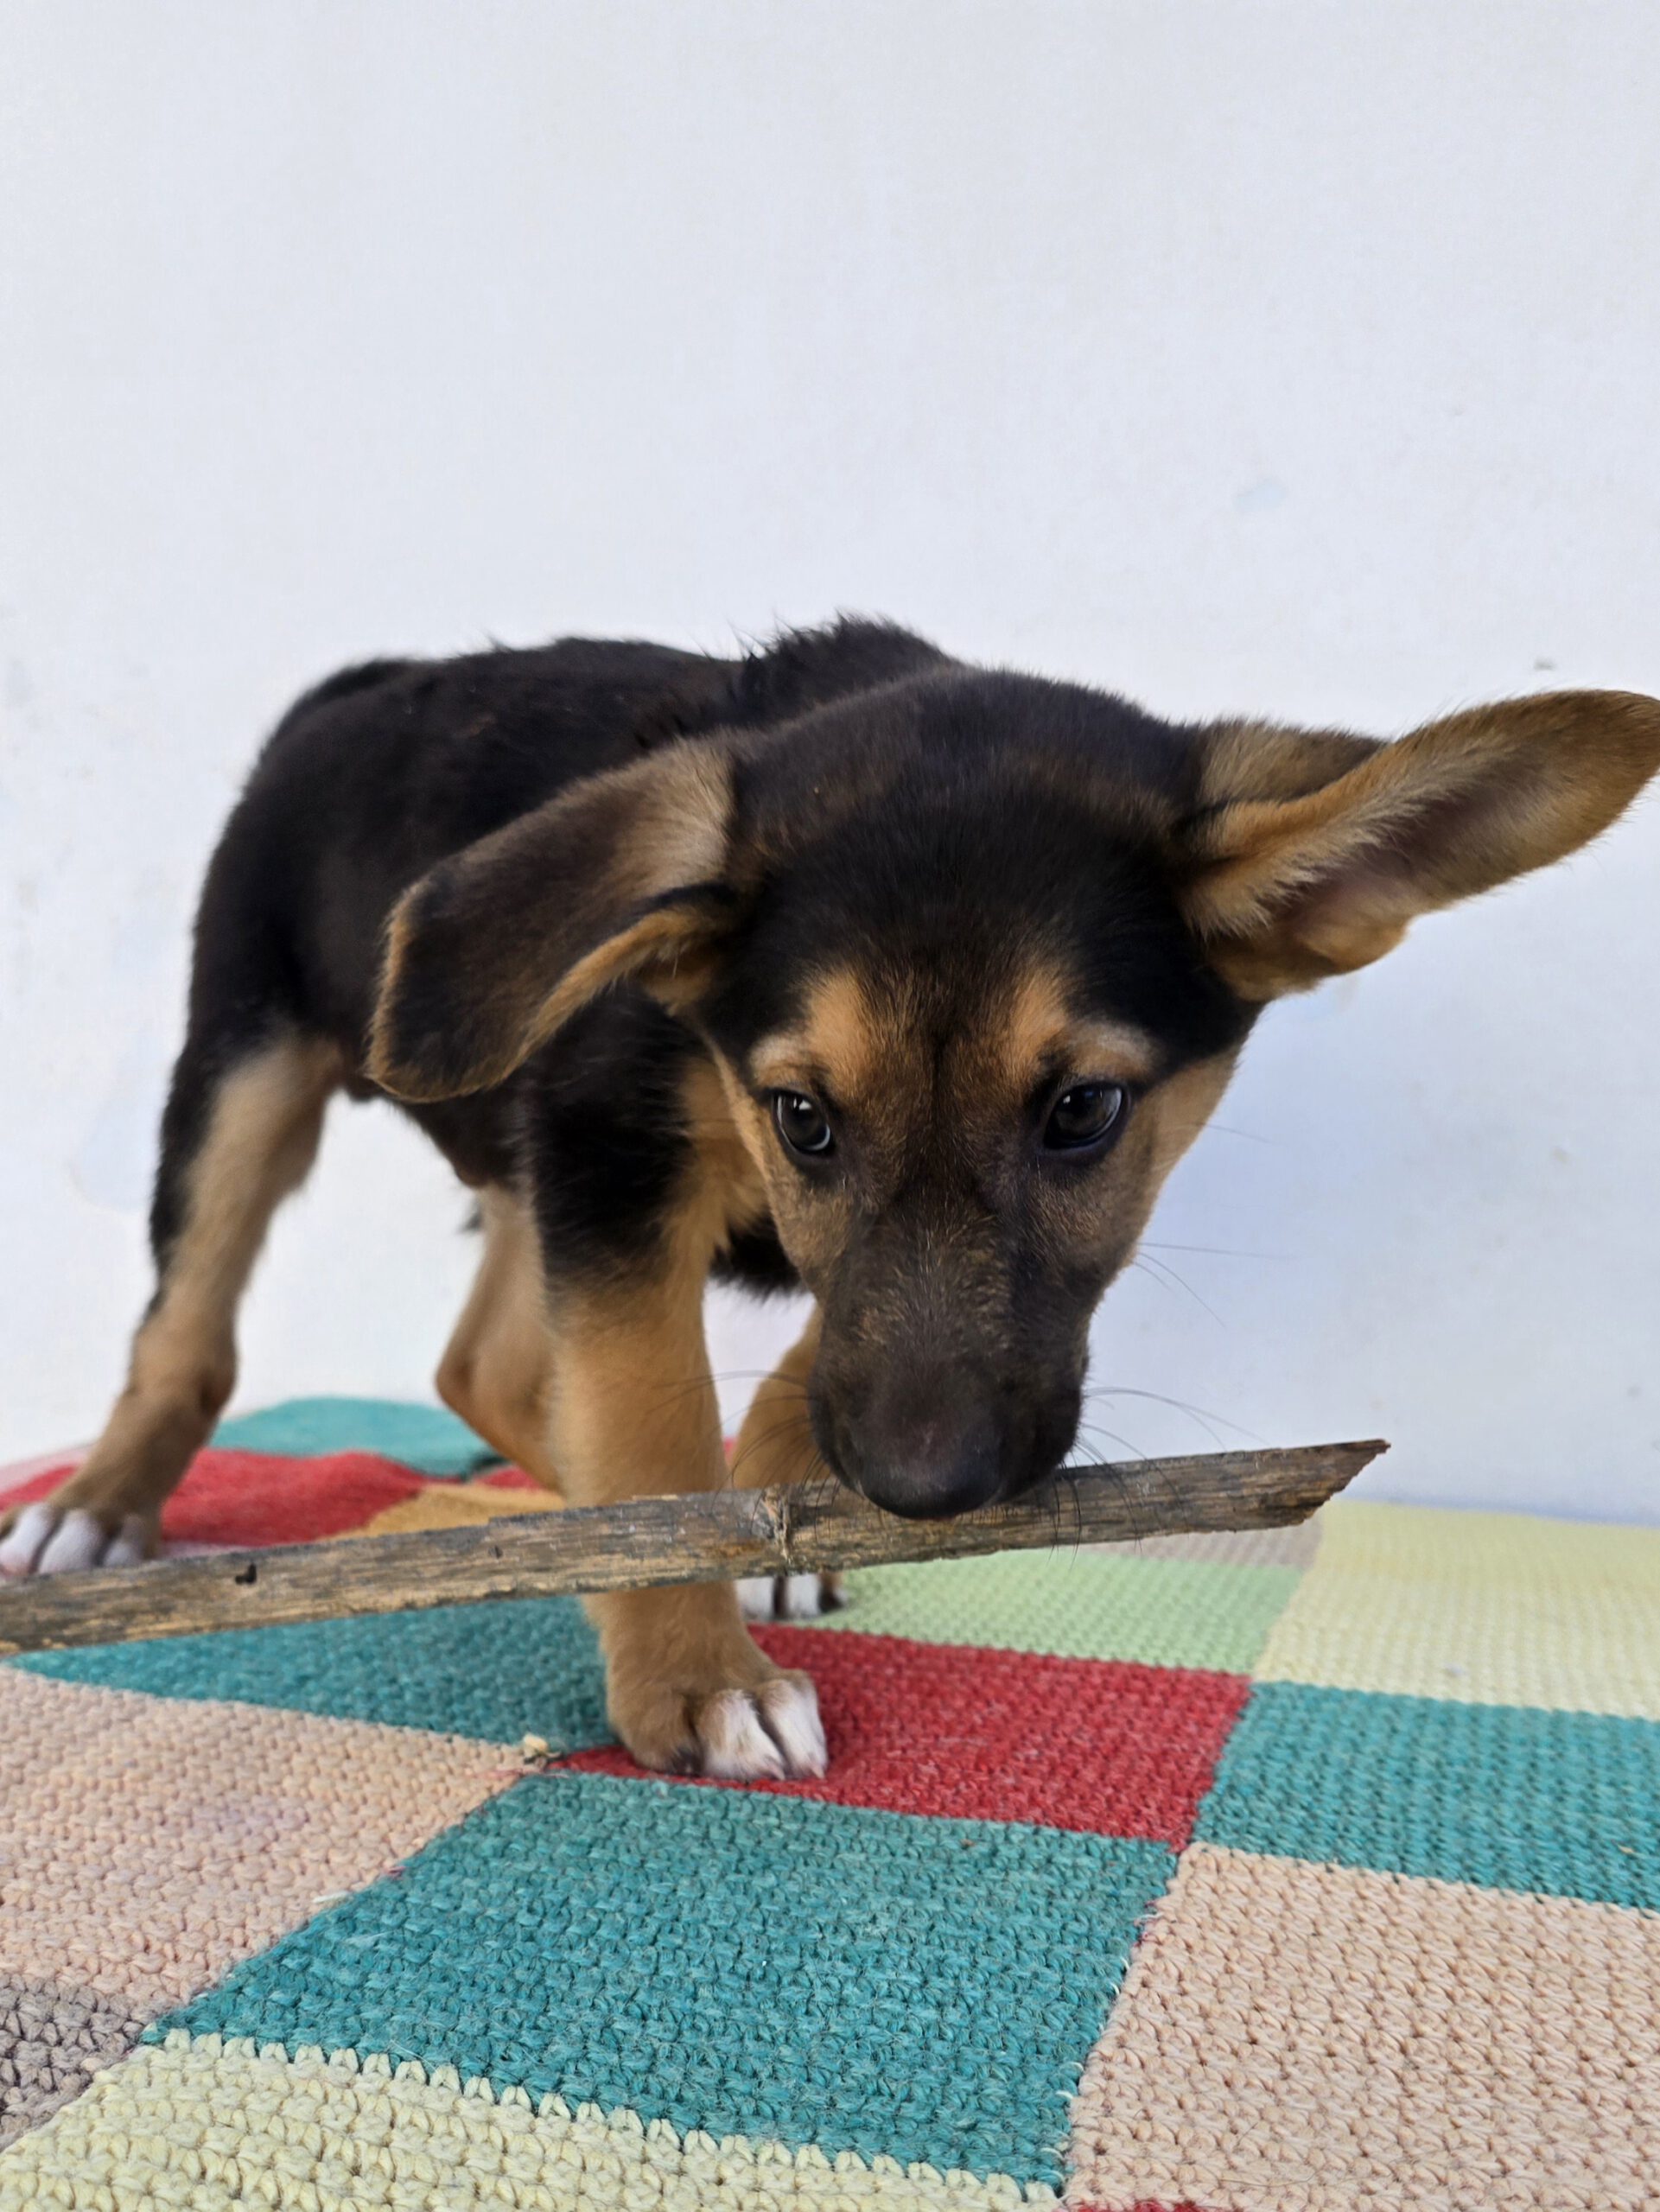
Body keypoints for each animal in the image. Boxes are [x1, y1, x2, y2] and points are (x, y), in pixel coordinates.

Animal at [5, 620, 1657, 1778]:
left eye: (1083, 1113)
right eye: (803, 1118)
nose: (924, 1497)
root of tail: (363, 685)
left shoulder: (619, 1182)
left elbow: (808, 1344)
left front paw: (778, 1522)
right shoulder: (613, 1159)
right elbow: (655, 1417)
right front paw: (696, 1672)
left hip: (510, 1158)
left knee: (485, 1362)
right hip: (246, 1064)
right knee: (192, 1326)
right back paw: (96, 1511)